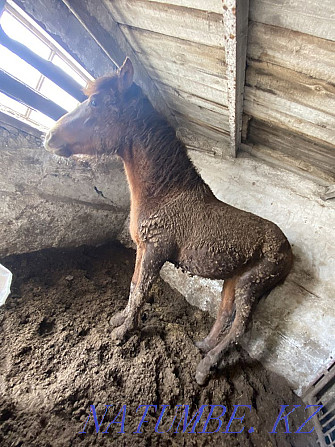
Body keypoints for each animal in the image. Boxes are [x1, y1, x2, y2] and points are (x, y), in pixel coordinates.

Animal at [45, 58, 294, 384]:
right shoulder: (142, 249)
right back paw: (202, 345)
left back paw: (205, 368)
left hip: (250, 286)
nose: (49, 137)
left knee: (239, 328)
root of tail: (289, 252)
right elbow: (133, 285)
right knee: (224, 316)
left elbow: (141, 292)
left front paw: (122, 334)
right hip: (234, 281)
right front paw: (120, 319)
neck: (165, 194)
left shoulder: (156, 252)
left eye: (96, 101)